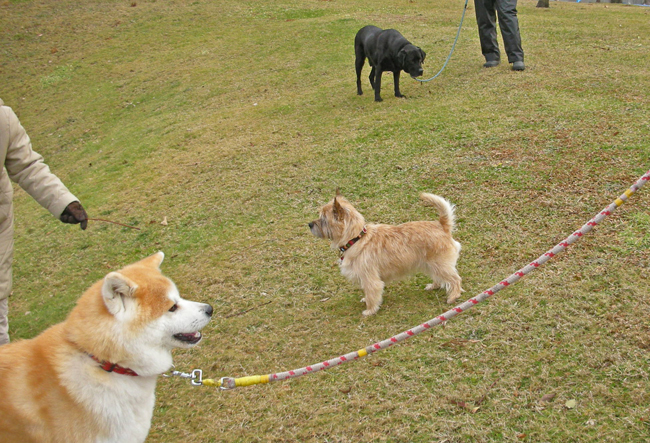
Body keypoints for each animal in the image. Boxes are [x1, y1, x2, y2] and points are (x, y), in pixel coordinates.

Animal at [308, 191, 460, 316]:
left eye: (323, 219)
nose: (309, 224)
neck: (356, 238)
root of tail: (442, 225)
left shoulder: (370, 278)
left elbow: (371, 293)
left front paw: (370, 310)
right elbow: (367, 292)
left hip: (440, 264)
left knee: (455, 279)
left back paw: (453, 296)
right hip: (430, 265)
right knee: (440, 278)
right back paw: (434, 286)